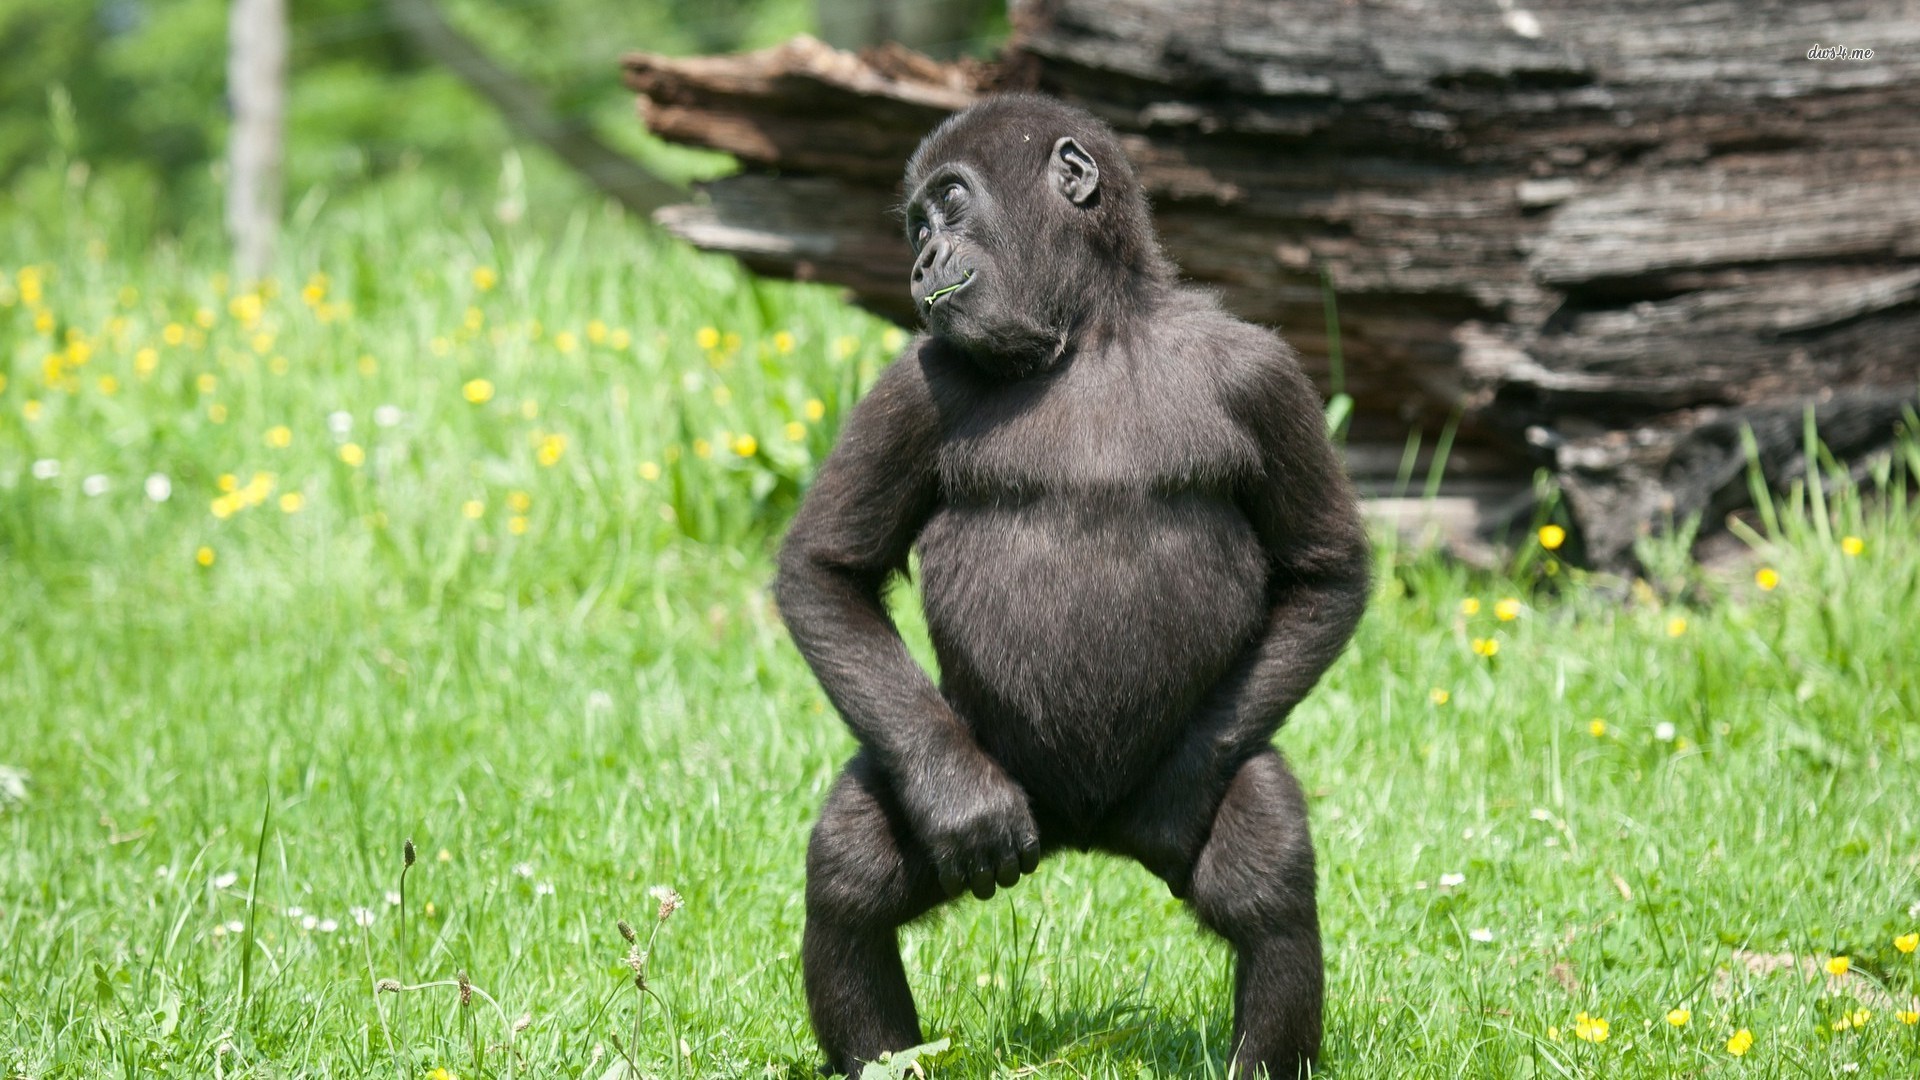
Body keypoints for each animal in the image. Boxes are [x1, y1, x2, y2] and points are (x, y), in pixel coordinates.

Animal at [773, 93, 1370, 1078]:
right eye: (917, 227)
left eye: (950, 204)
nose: (921, 261)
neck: (1088, 332)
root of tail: (1084, 832)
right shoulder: (913, 381)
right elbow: (827, 572)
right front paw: (962, 804)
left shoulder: (1265, 376)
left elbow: (1326, 572)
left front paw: (1178, 799)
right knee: (854, 865)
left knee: (1267, 871)